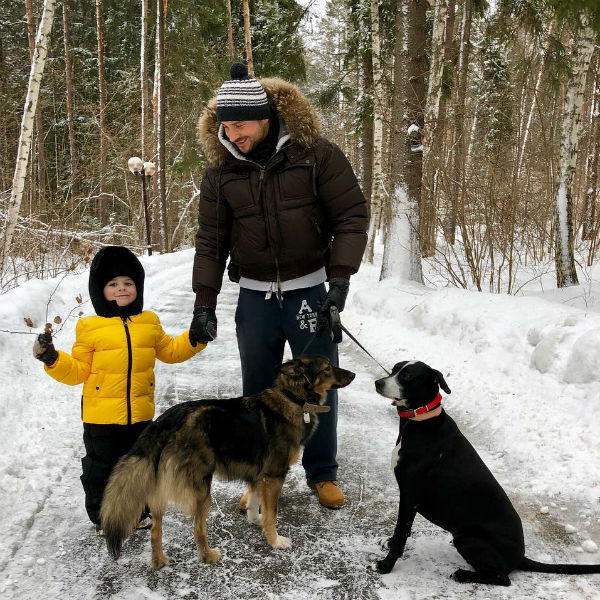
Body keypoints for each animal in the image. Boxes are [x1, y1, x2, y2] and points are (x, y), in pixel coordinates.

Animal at [370, 360, 600, 584]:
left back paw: (464, 575)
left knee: (503, 578)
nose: (378, 383)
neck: (422, 421)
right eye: (394, 369)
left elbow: (401, 532)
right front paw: (388, 543)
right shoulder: (409, 500)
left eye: (407, 375)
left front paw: (385, 565)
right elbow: (403, 529)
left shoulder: (410, 496)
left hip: (468, 539)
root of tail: (520, 557)